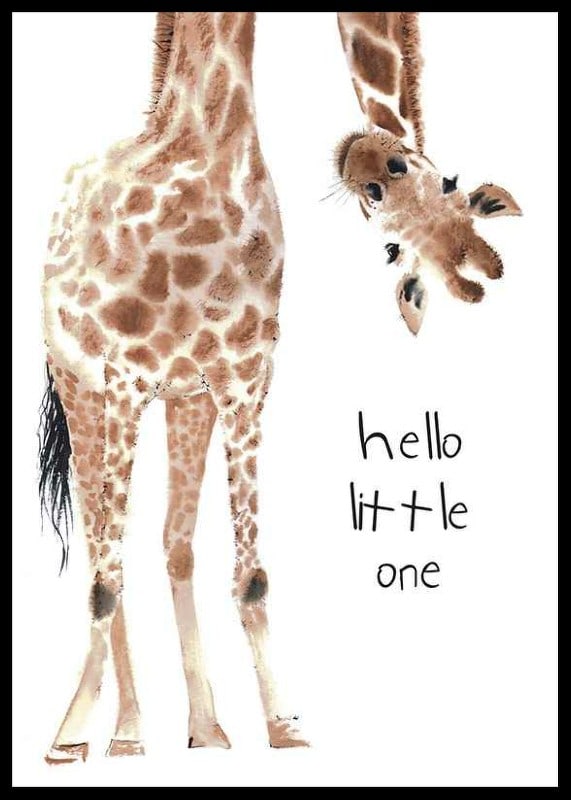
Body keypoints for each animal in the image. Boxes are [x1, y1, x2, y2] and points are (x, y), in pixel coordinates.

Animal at [40, 12, 307, 763]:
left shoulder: (243, 379)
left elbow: (250, 573)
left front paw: (282, 725)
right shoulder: (125, 379)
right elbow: (105, 577)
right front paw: (72, 735)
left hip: (183, 401)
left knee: (170, 540)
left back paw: (204, 726)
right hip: (82, 392)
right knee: (102, 542)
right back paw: (121, 730)